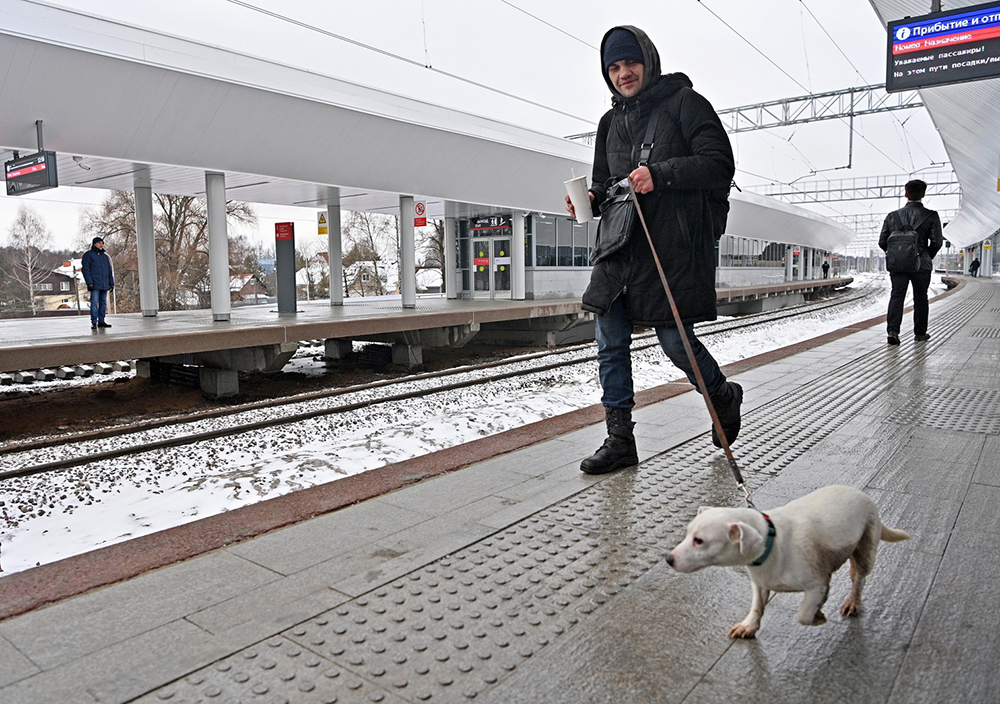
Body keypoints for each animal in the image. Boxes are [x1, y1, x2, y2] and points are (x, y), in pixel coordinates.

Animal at [668, 484, 912, 640]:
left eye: (699, 540)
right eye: (687, 533)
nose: (668, 559)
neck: (771, 543)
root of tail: (862, 494)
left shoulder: (818, 584)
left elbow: (803, 615)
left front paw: (818, 616)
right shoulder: (760, 584)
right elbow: (757, 606)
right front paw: (749, 626)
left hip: (866, 548)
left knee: (859, 578)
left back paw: (853, 601)